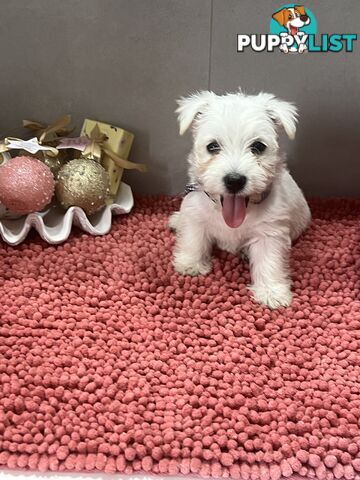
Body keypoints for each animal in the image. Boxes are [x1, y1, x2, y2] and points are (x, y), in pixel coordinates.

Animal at [170, 88, 310, 310]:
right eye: (212, 146)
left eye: (258, 147)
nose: (234, 180)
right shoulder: (196, 216)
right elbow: (194, 239)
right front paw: (191, 264)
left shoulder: (270, 233)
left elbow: (269, 261)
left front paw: (271, 291)